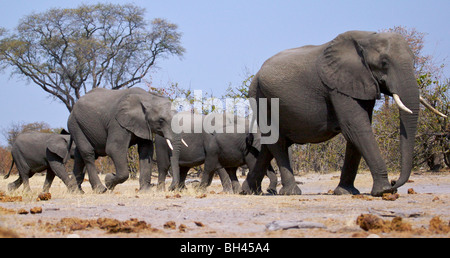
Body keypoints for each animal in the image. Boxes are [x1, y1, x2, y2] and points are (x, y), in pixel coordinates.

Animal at [243, 29, 446, 196]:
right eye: (384, 63)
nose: (395, 183)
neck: (367, 38)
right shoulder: (338, 87)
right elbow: (355, 127)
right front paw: (383, 191)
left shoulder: (358, 84)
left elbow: (356, 131)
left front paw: (346, 192)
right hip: (260, 96)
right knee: (277, 141)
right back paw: (290, 192)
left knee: (271, 145)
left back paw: (249, 191)